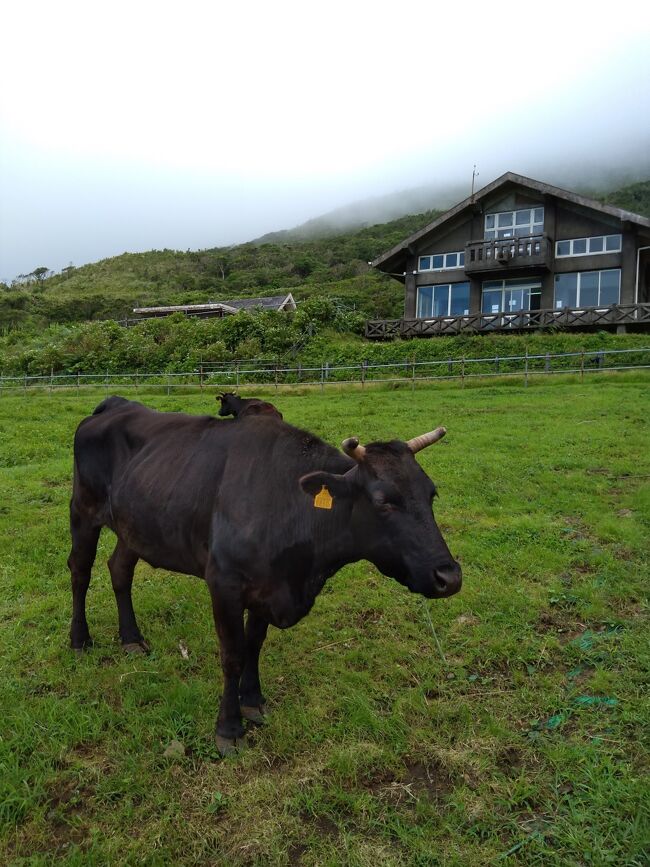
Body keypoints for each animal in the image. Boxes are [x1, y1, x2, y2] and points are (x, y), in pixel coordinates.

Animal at [68, 398, 458, 752]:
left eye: (432, 493)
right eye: (382, 500)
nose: (449, 576)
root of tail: (117, 404)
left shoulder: (267, 586)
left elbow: (254, 644)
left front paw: (253, 701)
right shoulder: (224, 583)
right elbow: (233, 655)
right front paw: (228, 729)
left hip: (134, 525)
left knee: (119, 569)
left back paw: (131, 638)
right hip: (83, 510)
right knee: (80, 571)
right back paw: (79, 639)